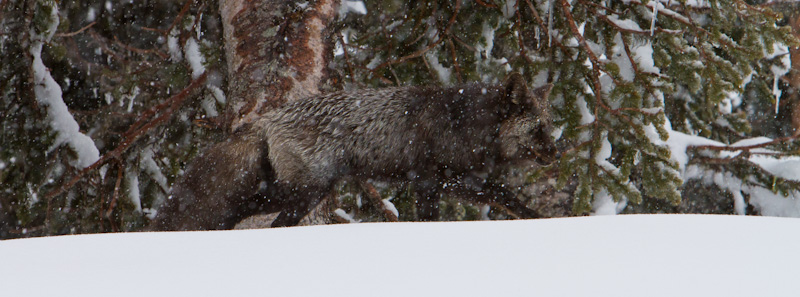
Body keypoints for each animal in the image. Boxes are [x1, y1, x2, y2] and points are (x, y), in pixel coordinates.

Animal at [152, 73, 564, 230]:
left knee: (248, 213)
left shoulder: (454, 182)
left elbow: (504, 195)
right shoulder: (429, 182)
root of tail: (268, 118)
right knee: (255, 216)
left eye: (549, 126)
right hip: (305, 192)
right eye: (538, 129)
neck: (463, 123)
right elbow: (437, 217)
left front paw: (539, 218)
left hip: (294, 193)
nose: (558, 155)